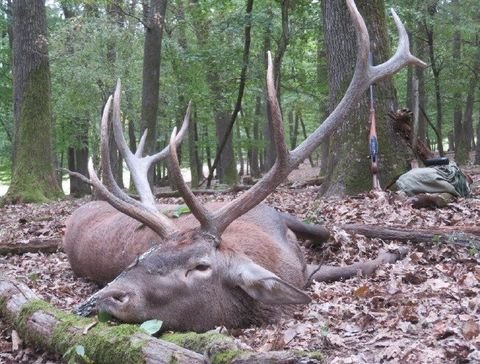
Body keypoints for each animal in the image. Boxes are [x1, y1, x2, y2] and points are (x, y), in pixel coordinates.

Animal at [62, 0, 424, 332]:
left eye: (201, 266)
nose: (101, 297)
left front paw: (393, 249)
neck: (280, 258)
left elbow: (342, 246)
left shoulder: (279, 222)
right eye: (143, 256)